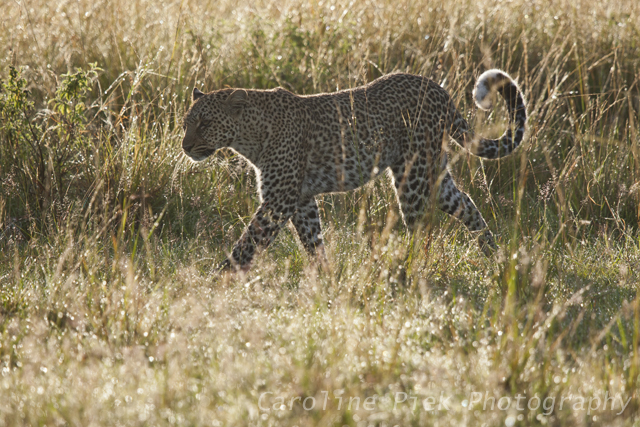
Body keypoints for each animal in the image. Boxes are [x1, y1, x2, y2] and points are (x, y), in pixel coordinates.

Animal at [180, 70, 524, 270]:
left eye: (205, 123)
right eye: (186, 123)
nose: (185, 146)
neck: (249, 136)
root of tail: (438, 89)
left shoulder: (280, 200)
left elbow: (248, 242)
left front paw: (220, 279)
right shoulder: (301, 200)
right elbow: (313, 241)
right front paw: (324, 277)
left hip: (412, 176)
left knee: (420, 228)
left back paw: (409, 269)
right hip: (433, 172)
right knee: (465, 202)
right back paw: (493, 253)